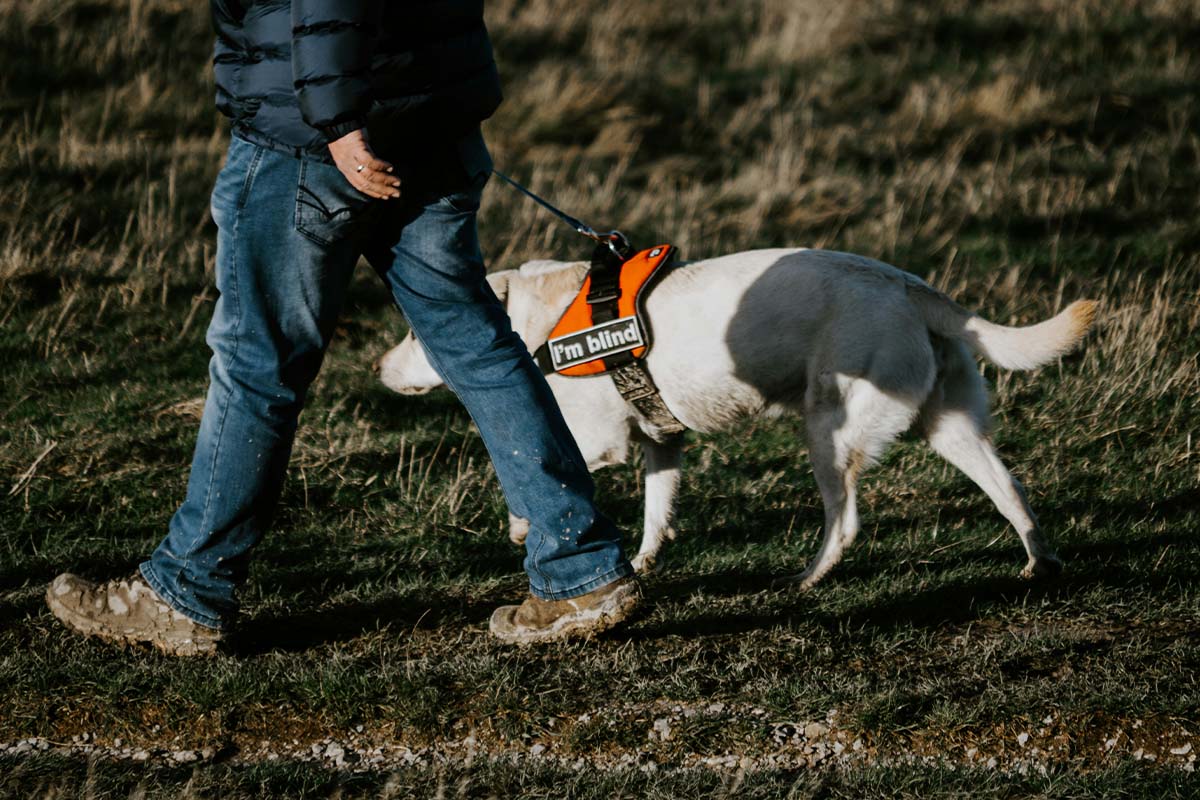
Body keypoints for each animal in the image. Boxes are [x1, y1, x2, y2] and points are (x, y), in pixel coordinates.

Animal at [376, 250, 1099, 587]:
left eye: (415, 333)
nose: (377, 369)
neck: (533, 321)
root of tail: (909, 285)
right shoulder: (660, 443)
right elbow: (656, 511)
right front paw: (643, 561)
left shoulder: (596, 440)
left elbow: (527, 472)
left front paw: (524, 525)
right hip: (949, 426)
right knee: (1011, 490)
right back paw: (1039, 562)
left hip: (829, 428)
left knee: (845, 519)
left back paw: (809, 577)